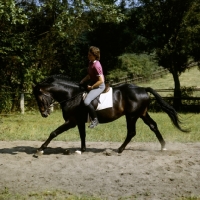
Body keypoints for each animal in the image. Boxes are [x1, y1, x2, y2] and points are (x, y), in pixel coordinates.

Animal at [32, 75, 186, 155]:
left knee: (131, 132)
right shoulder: (80, 121)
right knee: (153, 126)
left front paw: (40, 149)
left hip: (131, 116)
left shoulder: (71, 121)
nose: (44, 113)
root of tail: (143, 89)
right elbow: (82, 135)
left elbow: (53, 133)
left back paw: (119, 149)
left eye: (39, 98)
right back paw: (163, 146)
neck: (72, 95)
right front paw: (82, 150)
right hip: (142, 114)